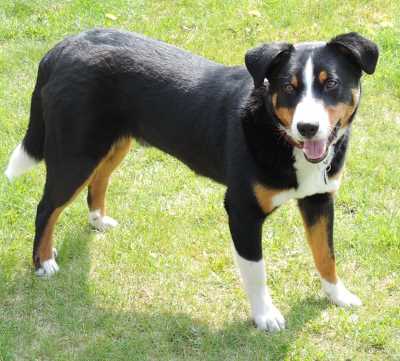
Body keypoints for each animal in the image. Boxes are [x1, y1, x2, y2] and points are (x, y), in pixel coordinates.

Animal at [5, 28, 378, 332]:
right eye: (289, 87)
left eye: (331, 83)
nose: (308, 128)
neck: (280, 136)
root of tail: (63, 47)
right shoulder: (242, 210)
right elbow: (256, 272)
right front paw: (265, 316)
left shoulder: (319, 199)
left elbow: (326, 255)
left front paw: (338, 295)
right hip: (75, 155)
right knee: (47, 208)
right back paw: (44, 262)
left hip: (112, 144)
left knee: (98, 181)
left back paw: (98, 220)